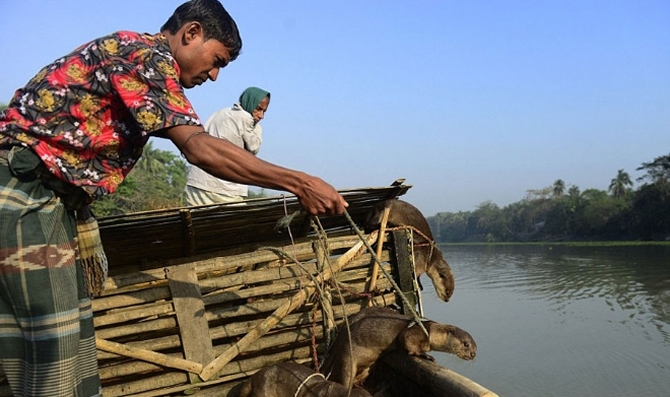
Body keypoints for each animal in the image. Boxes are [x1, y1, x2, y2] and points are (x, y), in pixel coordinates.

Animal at [322, 306, 476, 386]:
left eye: (476, 347)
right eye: (466, 344)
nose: (473, 354)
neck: (431, 331)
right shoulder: (415, 332)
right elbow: (407, 341)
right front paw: (425, 355)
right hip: (348, 357)